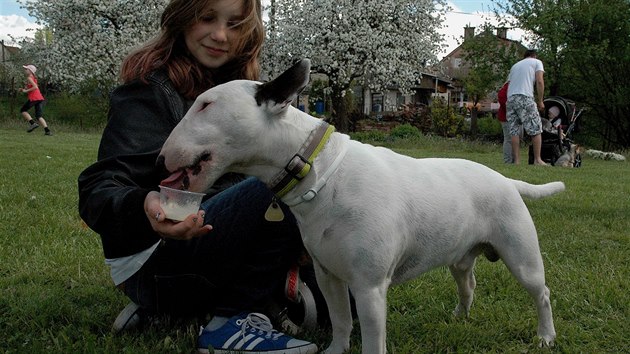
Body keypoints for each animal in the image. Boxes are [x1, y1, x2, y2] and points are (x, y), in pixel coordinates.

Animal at [159, 59, 564, 352]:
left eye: (206, 104)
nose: (162, 158)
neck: (320, 173)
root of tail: (506, 181)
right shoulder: (329, 277)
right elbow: (340, 322)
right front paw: (335, 351)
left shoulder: (369, 288)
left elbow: (371, 339)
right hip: (460, 256)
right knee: (468, 283)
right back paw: (460, 317)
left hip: (521, 255)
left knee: (541, 293)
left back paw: (546, 335)